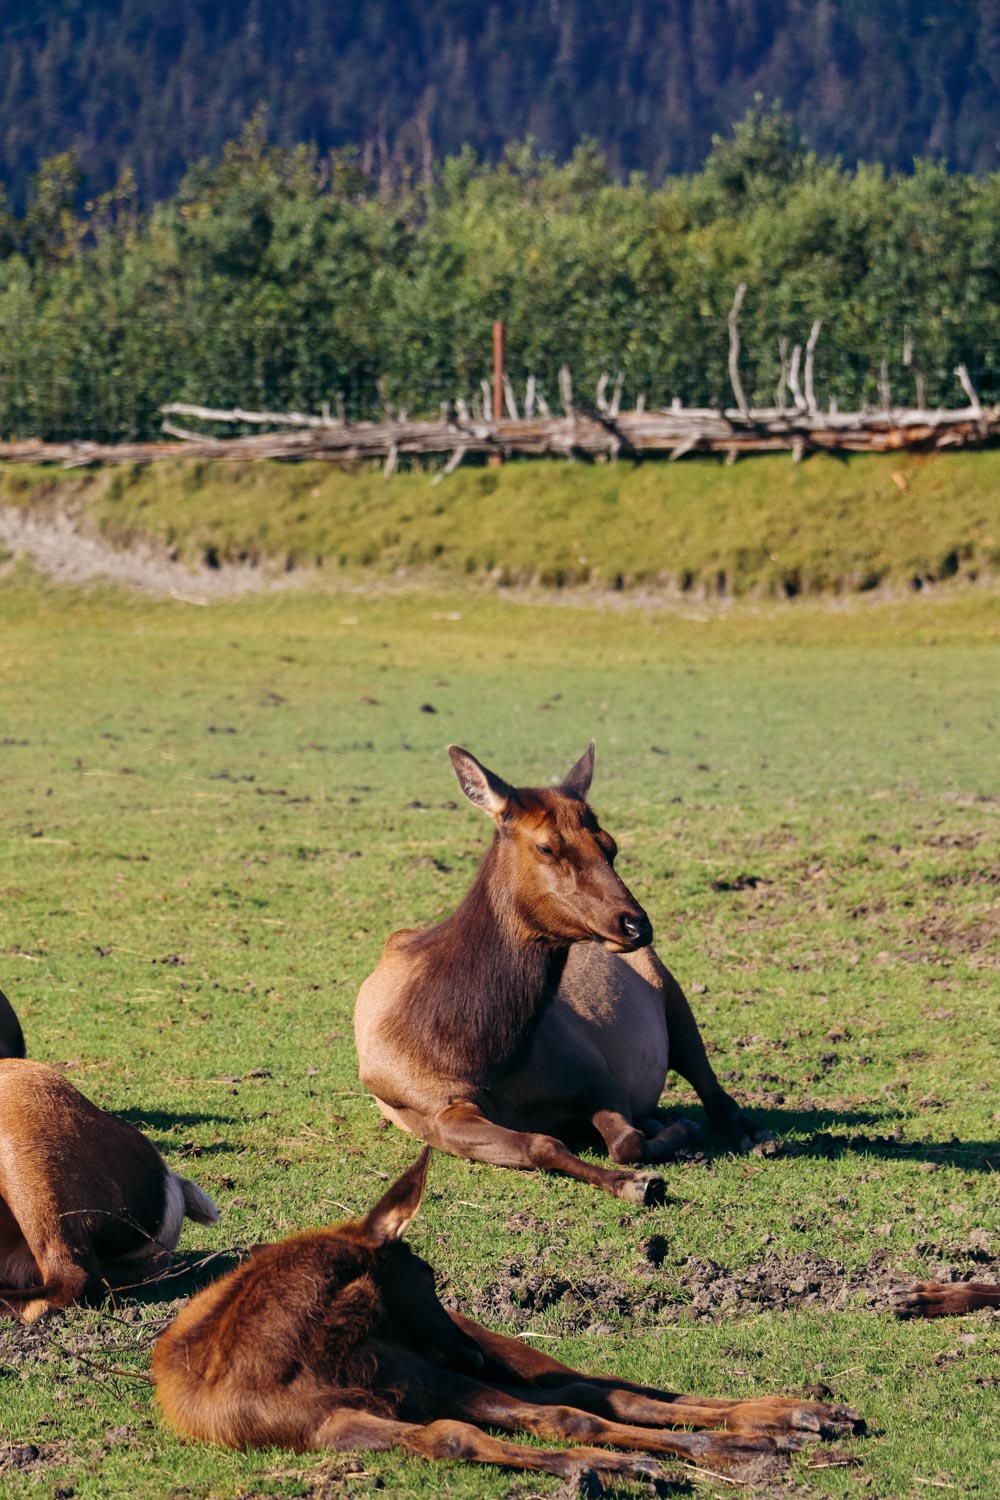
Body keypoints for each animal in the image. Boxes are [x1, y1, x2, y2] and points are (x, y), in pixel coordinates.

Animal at [152, 1146, 863, 1488]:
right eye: (426, 1275)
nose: (462, 1350)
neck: (306, 1357)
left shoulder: (430, 1377)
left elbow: (570, 1416)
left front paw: (720, 1450)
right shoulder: (331, 1426)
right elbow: (458, 1437)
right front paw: (606, 1467)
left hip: (507, 1354)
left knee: (611, 1388)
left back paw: (800, 1414)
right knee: (599, 1393)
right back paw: (782, 1424)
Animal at [355, 747, 779, 1206]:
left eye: (610, 845)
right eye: (545, 846)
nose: (636, 925)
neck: (474, 1051)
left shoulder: (593, 1070)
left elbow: (625, 1141)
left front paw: (675, 1139)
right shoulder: (435, 1112)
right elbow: (542, 1145)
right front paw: (637, 1180)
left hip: (672, 994)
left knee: (711, 1085)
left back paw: (757, 1136)